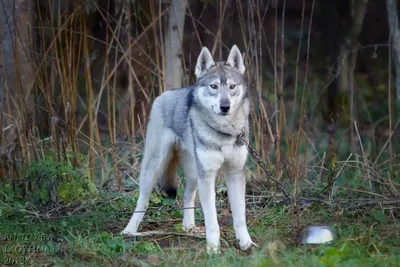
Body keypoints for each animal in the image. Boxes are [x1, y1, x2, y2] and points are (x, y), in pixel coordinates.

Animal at [122, 44, 253, 253]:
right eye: (214, 86)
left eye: (232, 86)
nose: (225, 106)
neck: (224, 132)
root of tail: (165, 94)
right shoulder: (208, 176)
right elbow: (212, 221)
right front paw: (213, 249)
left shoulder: (235, 172)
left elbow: (240, 216)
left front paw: (246, 243)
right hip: (154, 168)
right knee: (143, 199)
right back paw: (130, 230)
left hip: (193, 174)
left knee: (187, 196)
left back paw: (188, 226)